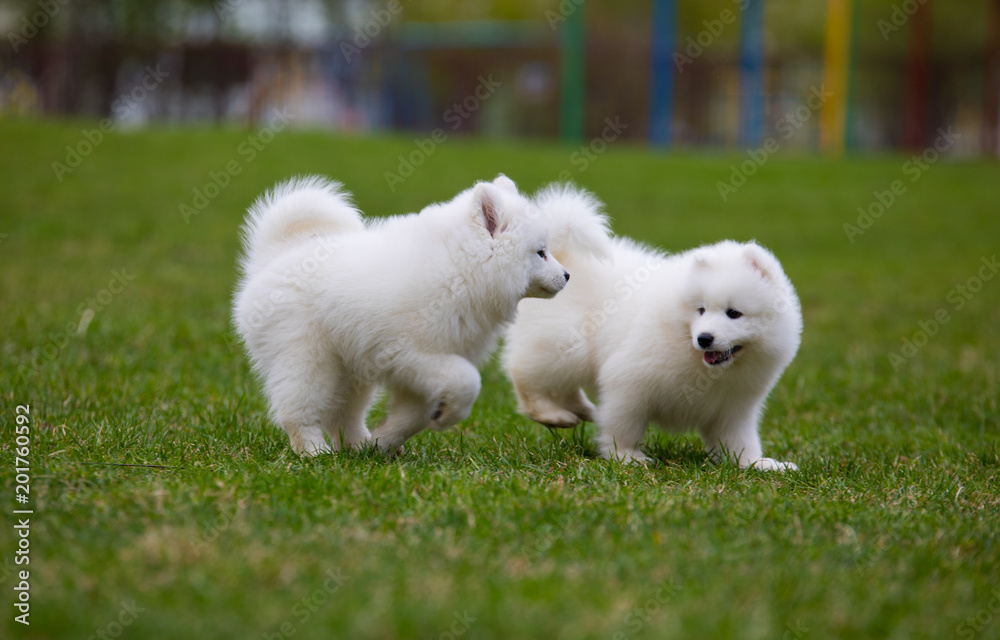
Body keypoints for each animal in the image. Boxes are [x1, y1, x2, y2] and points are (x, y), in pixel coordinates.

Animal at [229, 175, 568, 456]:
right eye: (541, 252)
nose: (567, 275)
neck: (460, 269)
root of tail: (273, 257)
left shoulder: (419, 370)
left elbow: (412, 416)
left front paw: (385, 441)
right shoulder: (411, 353)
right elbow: (467, 380)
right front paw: (447, 417)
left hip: (350, 371)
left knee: (342, 415)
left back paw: (359, 447)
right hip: (307, 359)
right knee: (298, 411)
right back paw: (314, 452)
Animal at [504, 185, 800, 470]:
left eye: (734, 313)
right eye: (701, 310)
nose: (704, 338)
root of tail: (563, 257)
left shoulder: (733, 408)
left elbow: (738, 440)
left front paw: (757, 463)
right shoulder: (630, 380)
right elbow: (623, 425)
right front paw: (625, 457)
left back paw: (581, 410)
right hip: (563, 346)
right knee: (523, 374)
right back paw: (551, 414)